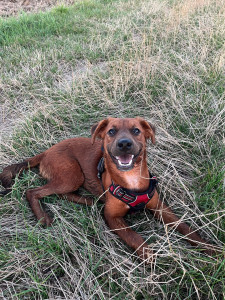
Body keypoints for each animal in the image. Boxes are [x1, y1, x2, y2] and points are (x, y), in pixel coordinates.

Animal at [0, 117, 218, 260]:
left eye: (136, 131)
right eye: (111, 132)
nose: (124, 144)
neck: (131, 180)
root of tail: (45, 152)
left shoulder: (161, 208)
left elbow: (186, 228)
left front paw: (209, 248)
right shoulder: (112, 218)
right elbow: (135, 238)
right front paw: (153, 263)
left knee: (63, 194)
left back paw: (89, 200)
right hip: (72, 174)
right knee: (33, 191)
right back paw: (43, 217)